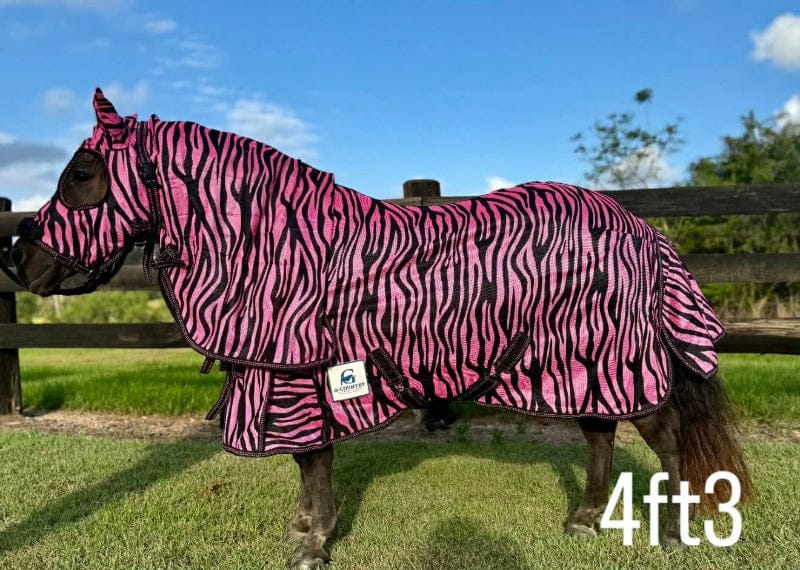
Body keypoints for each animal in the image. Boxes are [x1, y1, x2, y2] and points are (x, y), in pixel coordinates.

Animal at [8, 89, 752, 569]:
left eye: (82, 175)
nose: (19, 258)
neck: (280, 246)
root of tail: (639, 227)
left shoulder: (297, 373)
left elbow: (312, 459)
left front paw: (311, 543)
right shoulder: (300, 374)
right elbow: (311, 461)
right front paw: (308, 532)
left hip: (613, 354)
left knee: (667, 436)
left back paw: (676, 534)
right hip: (578, 364)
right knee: (601, 435)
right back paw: (583, 520)